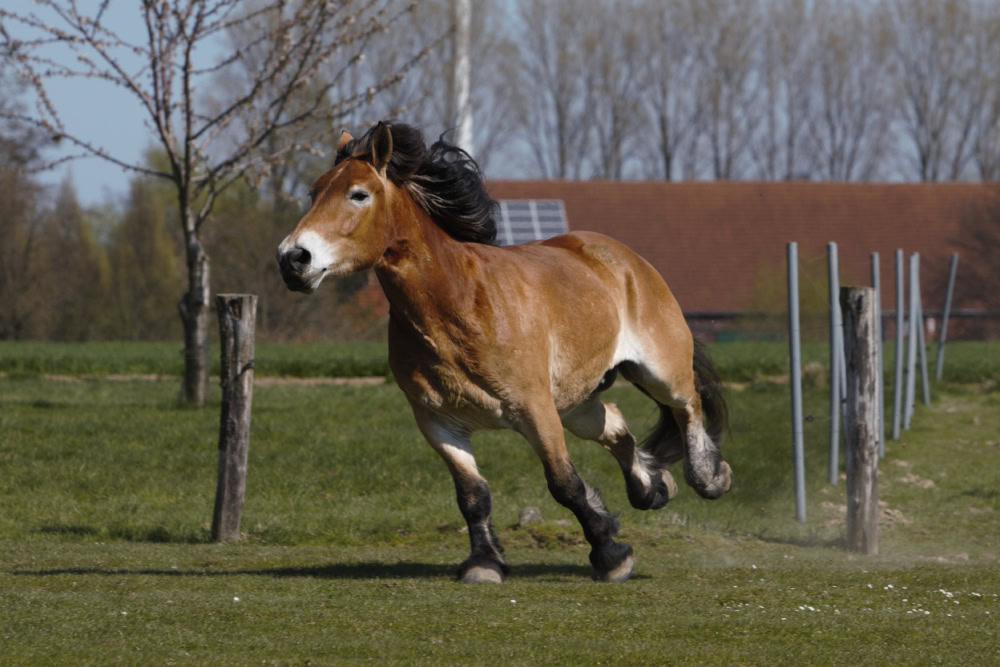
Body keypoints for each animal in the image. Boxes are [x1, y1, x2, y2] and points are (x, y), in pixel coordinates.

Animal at [277, 121, 732, 583]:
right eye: (314, 193)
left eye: (358, 194)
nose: (293, 258)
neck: (460, 306)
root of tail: (626, 260)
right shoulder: (439, 423)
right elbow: (472, 494)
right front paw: (484, 563)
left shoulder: (535, 410)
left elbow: (564, 483)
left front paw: (611, 556)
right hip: (575, 402)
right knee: (617, 427)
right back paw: (653, 487)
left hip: (655, 373)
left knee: (687, 405)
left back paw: (709, 478)